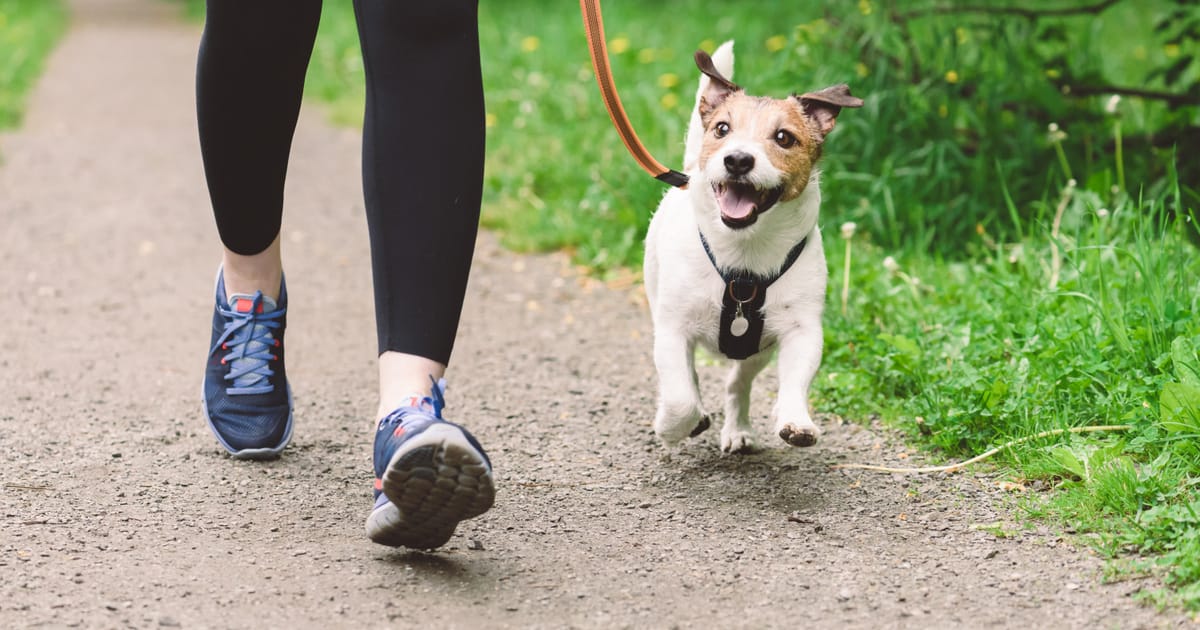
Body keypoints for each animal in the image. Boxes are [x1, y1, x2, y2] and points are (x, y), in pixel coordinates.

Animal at [648, 40, 864, 451]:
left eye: (784, 138)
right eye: (722, 129)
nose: (737, 159)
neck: (744, 255)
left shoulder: (801, 330)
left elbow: (795, 380)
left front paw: (796, 420)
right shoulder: (672, 329)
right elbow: (680, 396)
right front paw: (673, 426)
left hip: (755, 351)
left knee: (738, 383)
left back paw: (738, 429)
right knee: (690, 379)